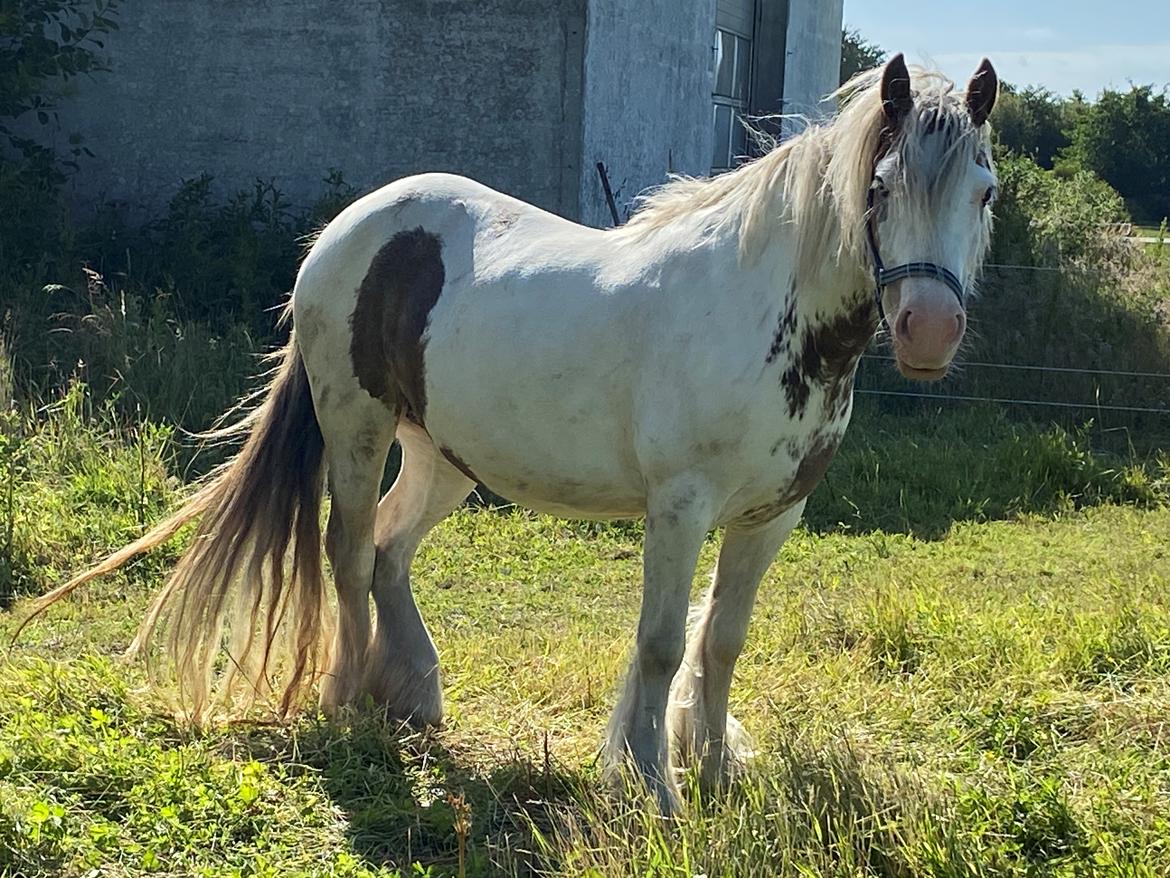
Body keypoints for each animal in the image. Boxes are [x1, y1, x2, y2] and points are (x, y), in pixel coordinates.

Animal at [27, 53, 996, 810]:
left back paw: (414, 694)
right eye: (880, 188)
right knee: (349, 553)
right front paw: (652, 785)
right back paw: (348, 698)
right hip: (357, 427)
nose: (929, 331)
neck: (765, 309)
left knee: (389, 552)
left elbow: (721, 641)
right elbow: (661, 644)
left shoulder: (773, 516)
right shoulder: (680, 509)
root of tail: (350, 228)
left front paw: (716, 769)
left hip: (442, 455)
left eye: (985, 193)